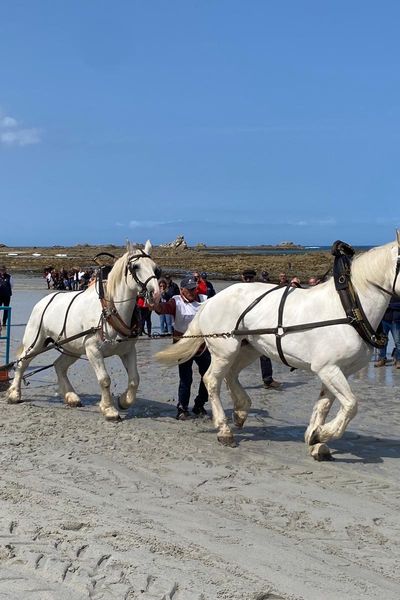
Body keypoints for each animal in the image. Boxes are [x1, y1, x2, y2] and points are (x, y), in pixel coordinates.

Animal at [155, 236, 400, 460]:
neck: (349, 308)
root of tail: (208, 301)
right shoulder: (328, 368)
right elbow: (351, 405)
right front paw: (323, 434)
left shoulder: (338, 370)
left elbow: (323, 405)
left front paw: (315, 439)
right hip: (224, 350)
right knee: (212, 380)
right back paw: (224, 430)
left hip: (249, 348)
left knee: (231, 375)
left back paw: (241, 410)